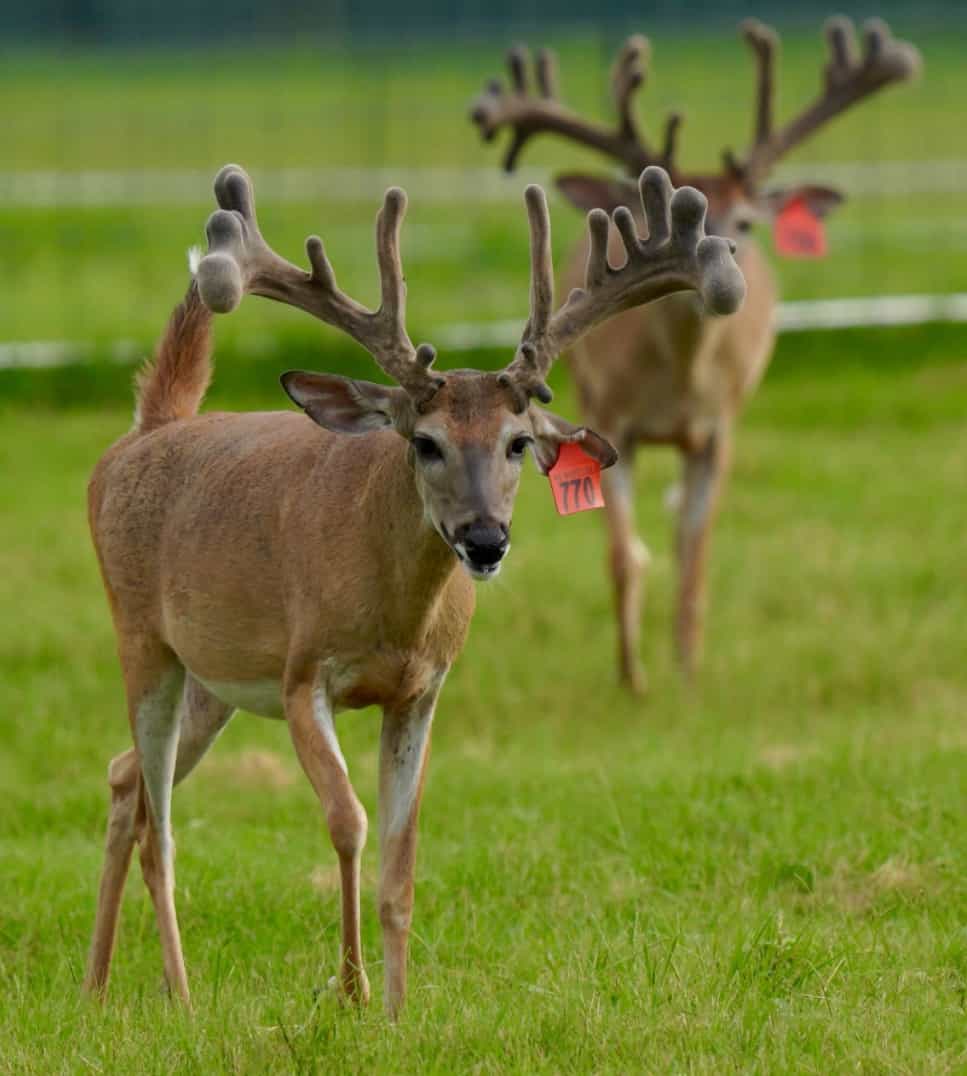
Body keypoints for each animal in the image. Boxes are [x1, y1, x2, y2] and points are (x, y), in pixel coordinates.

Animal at [82, 163, 744, 1017]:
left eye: (518, 442)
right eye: (424, 442)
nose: (485, 540)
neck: (394, 616)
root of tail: (145, 432)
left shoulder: (422, 691)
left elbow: (402, 855)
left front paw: (399, 1010)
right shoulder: (303, 675)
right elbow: (348, 822)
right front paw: (353, 991)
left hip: (213, 681)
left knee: (122, 777)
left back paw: (96, 985)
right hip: (141, 637)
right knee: (159, 825)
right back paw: (181, 994)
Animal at [471, 17, 920, 693]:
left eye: (747, 221)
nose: (724, 278)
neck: (675, 389)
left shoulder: (719, 428)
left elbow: (696, 552)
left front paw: (687, 675)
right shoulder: (609, 420)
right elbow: (623, 555)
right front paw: (633, 679)